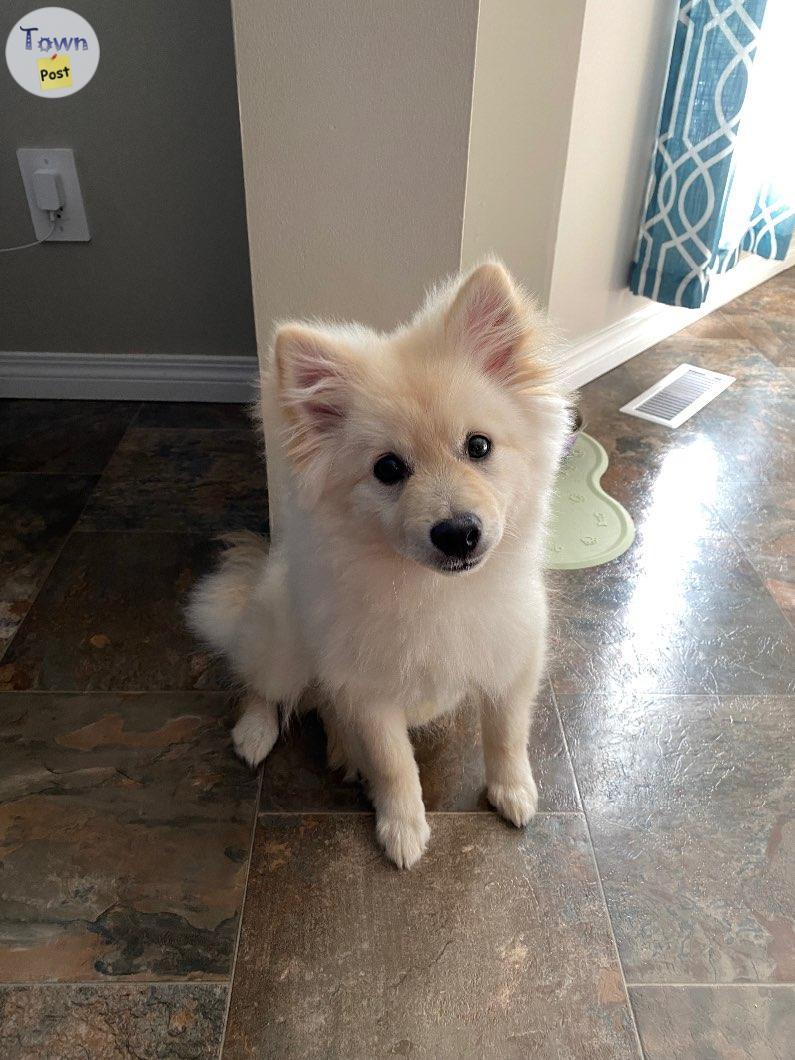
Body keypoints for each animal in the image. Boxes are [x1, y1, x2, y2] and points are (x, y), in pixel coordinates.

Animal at [189, 258, 568, 869]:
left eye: (479, 447)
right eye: (388, 469)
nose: (459, 533)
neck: (434, 591)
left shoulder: (512, 660)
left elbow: (508, 736)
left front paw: (513, 791)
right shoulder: (369, 691)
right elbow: (395, 767)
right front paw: (403, 829)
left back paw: (342, 749)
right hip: (283, 646)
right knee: (263, 687)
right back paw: (256, 734)